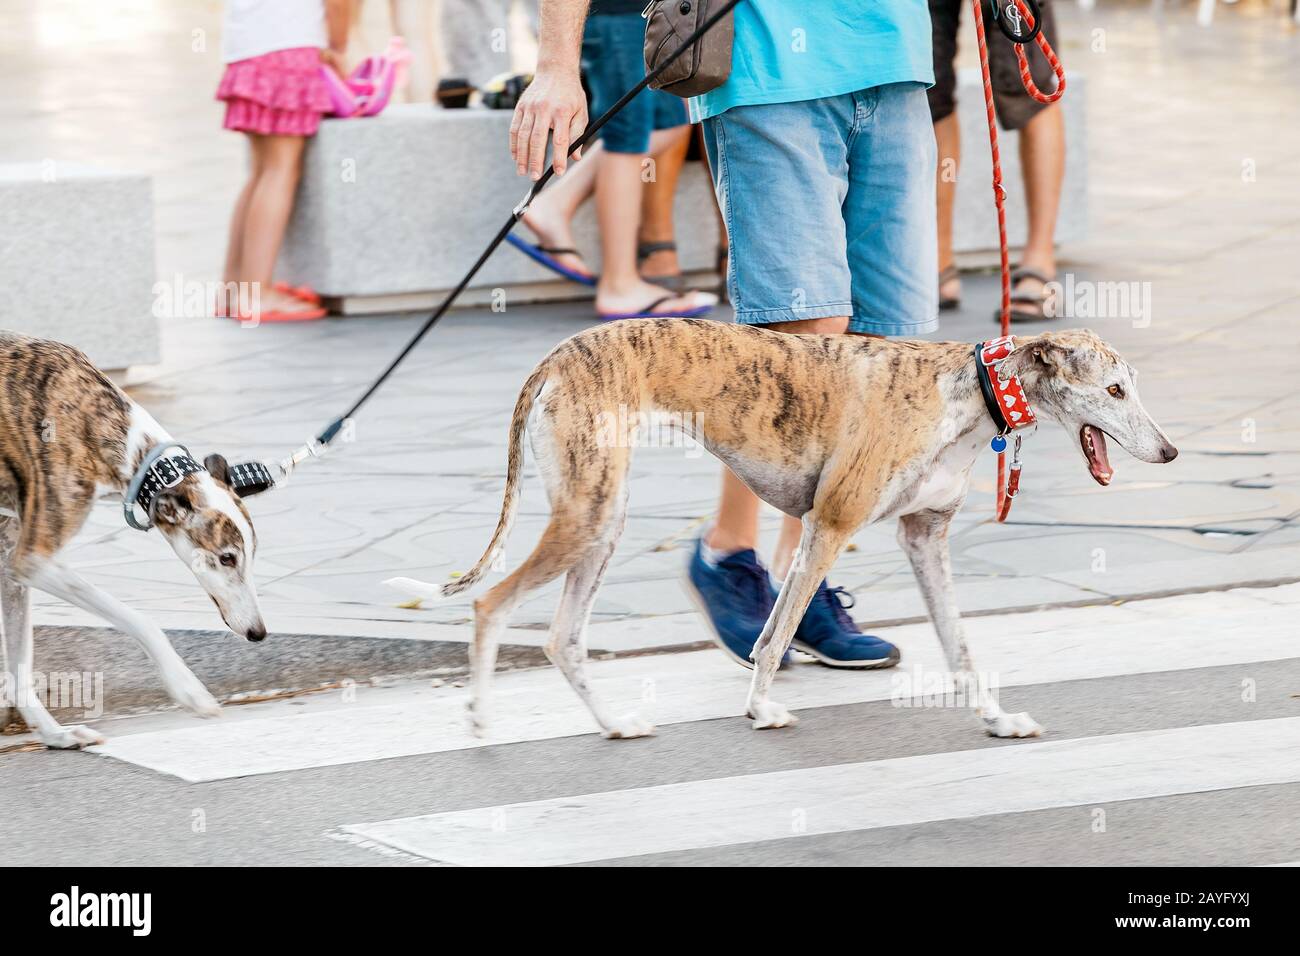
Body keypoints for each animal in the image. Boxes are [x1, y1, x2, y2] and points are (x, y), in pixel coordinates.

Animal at [0, 332, 263, 749]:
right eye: (226, 558)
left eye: (251, 554)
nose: (259, 632)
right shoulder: (33, 559)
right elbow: (141, 621)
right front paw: (189, 689)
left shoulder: (11, 564)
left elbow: (19, 667)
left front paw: (57, 735)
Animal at [384, 321, 1180, 738]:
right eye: (1115, 389)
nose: (1171, 453)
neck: (967, 391)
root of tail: (555, 355)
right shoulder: (829, 526)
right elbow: (775, 634)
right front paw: (761, 706)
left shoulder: (924, 539)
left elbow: (961, 648)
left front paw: (997, 718)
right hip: (588, 513)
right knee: (491, 602)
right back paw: (479, 720)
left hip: (601, 521)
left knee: (561, 638)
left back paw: (614, 724)